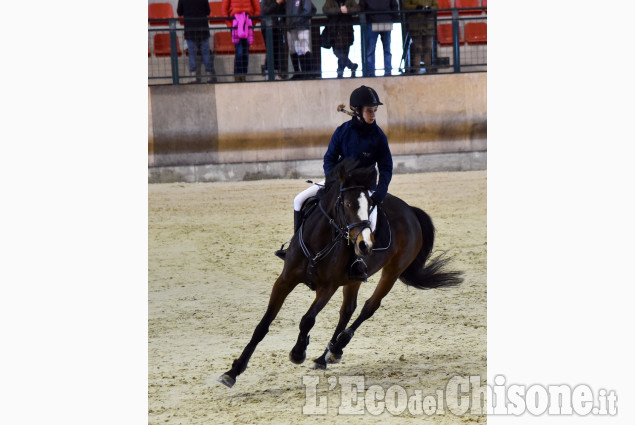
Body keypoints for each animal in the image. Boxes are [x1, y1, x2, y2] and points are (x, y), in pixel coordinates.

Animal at [219, 159, 462, 388]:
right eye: (347, 204)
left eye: (370, 206)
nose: (364, 245)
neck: (319, 241)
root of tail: (410, 210)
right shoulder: (285, 281)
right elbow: (263, 324)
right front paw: (233, 371)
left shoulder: (328, 287)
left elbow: (307, 319)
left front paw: (298, 352)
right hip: (353, 279)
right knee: (348, 309)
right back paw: (326, 355)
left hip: (392, 271)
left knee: (368, 307)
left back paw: (336, 347)